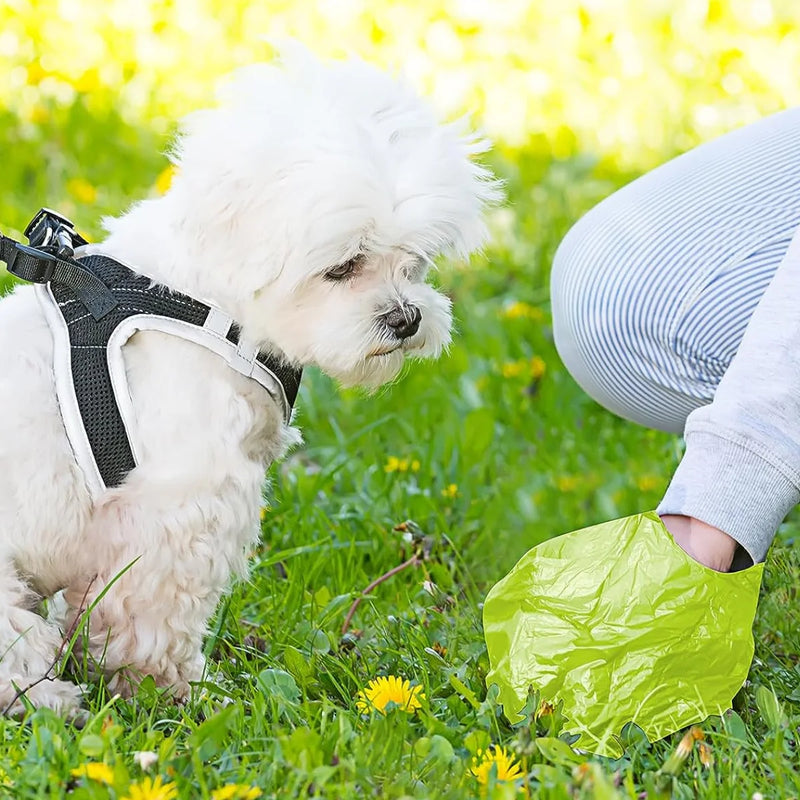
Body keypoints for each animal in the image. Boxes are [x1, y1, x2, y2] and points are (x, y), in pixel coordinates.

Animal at [0, 50, 500, 712]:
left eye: (414, 260)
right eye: (343, 266)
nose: (406, 318)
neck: (205, 301)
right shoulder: (178, 509)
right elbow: (151, 618)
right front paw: (170, 691)